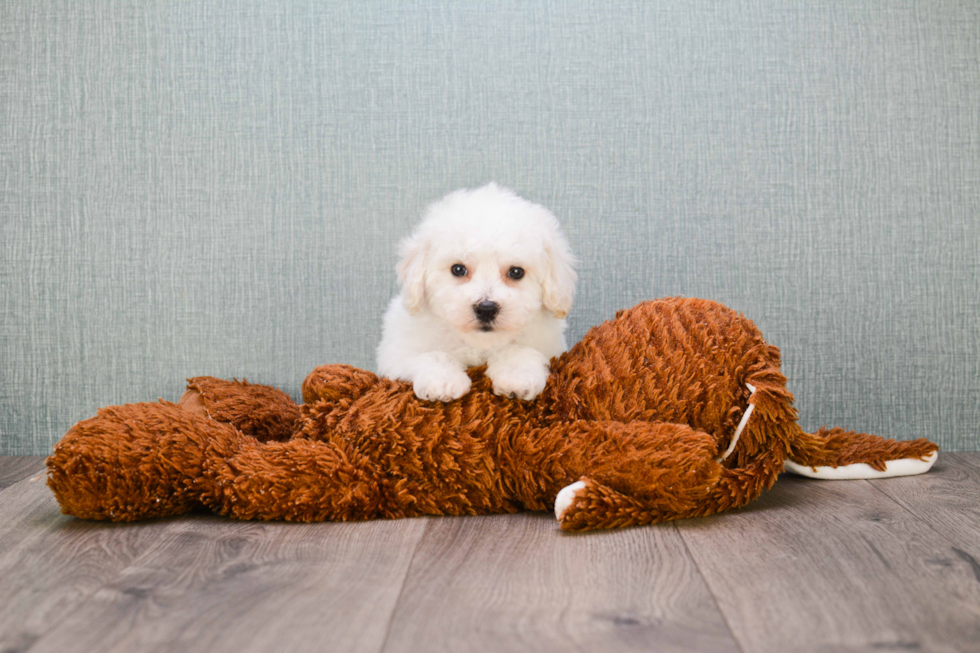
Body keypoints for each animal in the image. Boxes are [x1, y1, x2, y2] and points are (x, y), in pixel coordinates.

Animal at [376, 181, 576, 400]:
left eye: (516, 272)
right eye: (458, 269)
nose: (486, 308)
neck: (477, 344)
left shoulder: (550, 347)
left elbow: (519, 349)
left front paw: (517, 375)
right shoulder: (396, 354)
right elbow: (428, 355)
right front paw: (442, 381)